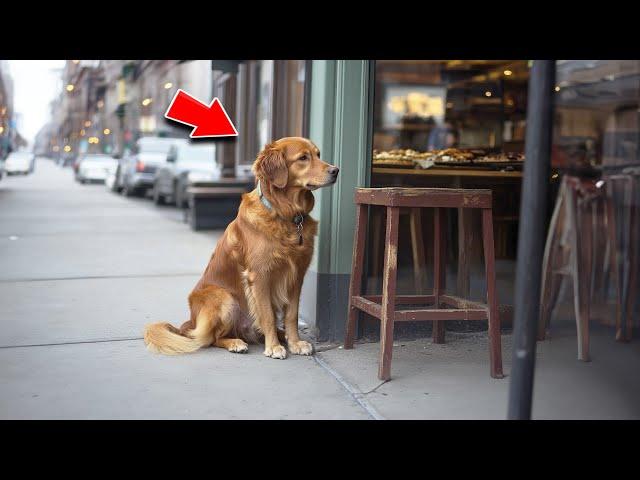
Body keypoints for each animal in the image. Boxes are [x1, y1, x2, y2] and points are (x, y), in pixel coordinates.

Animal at [142, 137, 338, 358]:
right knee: (212, 339)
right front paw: (273, 347)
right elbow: (268, 315)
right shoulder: (260, 276)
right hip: (224, 298)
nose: (336, 170)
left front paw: (295, 342)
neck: (284, 214)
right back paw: (236, 343)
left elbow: (292, 315)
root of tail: (189, 322)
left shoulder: (297, 276)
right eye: (303, 158)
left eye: (318, 154)